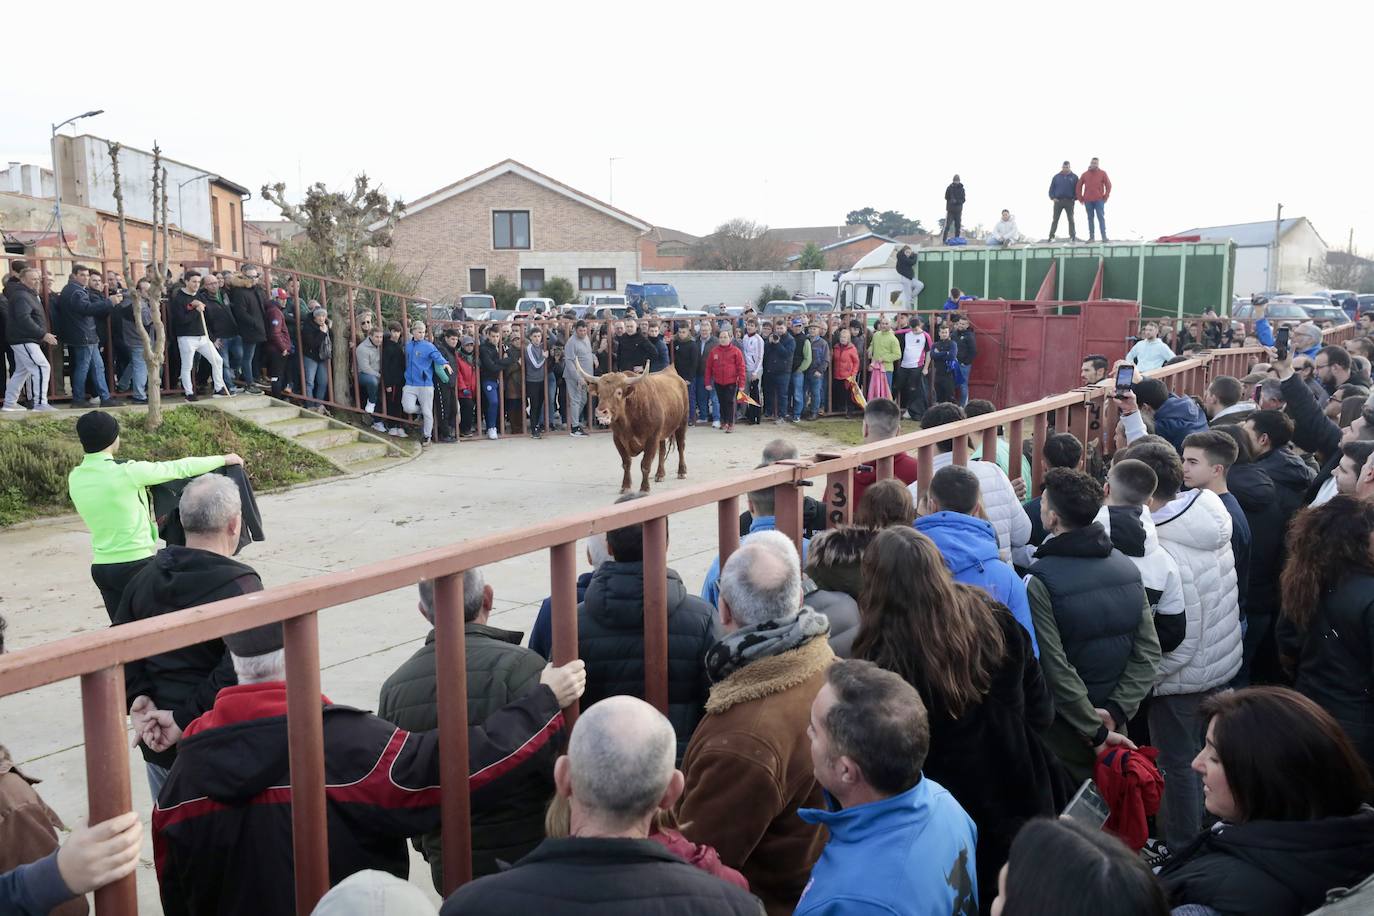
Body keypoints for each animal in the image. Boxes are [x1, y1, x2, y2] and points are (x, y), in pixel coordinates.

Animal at [574, 359, 692, 494]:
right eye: (599, 393)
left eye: (619, 392)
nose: (600, 412)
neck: (628, 422)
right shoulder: (618, 439)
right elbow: (626, 463)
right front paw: (625, 486)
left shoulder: (652, 438)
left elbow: (645, 464)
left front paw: (644, 488)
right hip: (662, 432)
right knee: (662, 451)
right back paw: (660, 474)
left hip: (682, 423)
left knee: (681, 446)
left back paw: (682, 472)